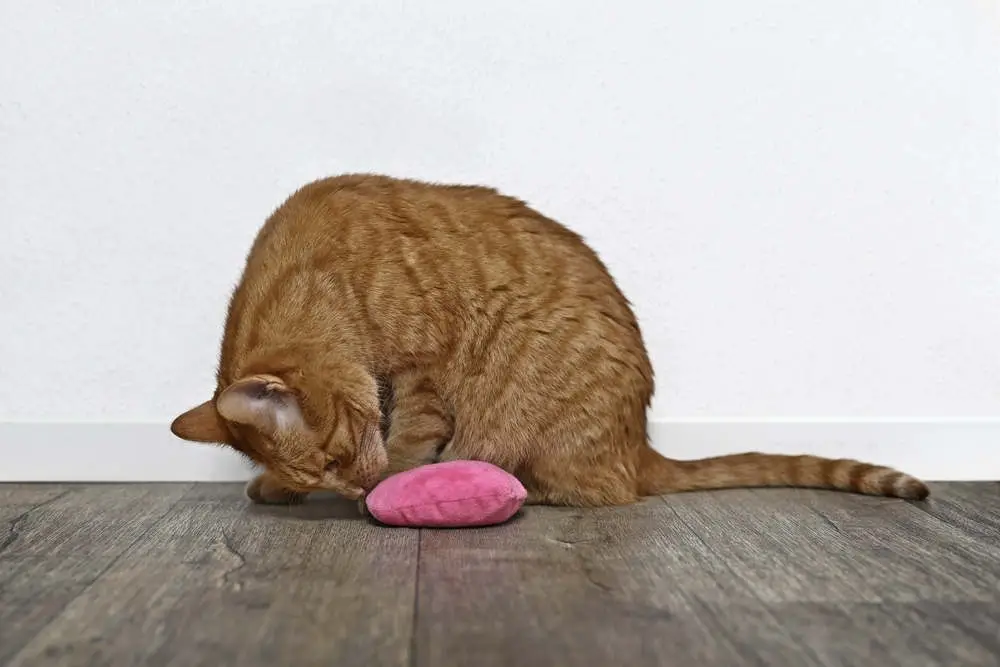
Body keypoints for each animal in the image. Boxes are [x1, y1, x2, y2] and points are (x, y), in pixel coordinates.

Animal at [172, 174, 928, 506]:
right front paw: (278, 488)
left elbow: (412, 437)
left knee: (598, 493)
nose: (354, 485)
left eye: (337, 456)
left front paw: (389, 483)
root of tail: (639, 442)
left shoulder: (420, 371)